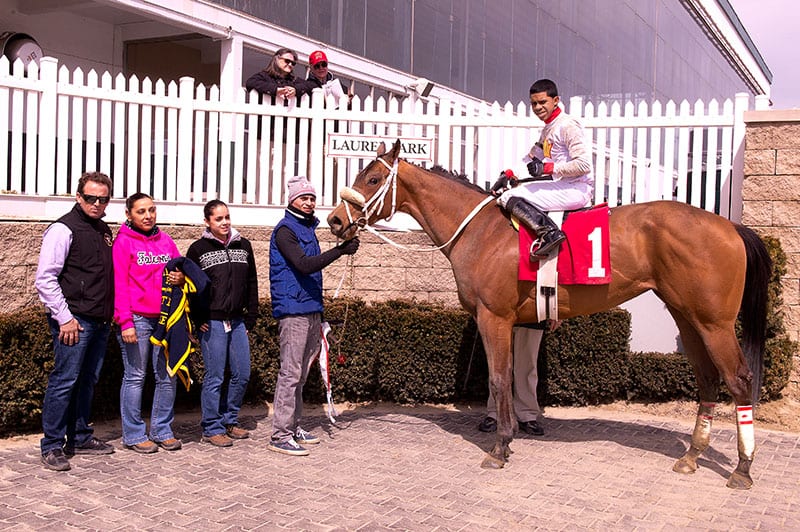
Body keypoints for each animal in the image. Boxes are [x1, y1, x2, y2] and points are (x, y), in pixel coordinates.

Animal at [328, 139, 772, 488]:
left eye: (372, 179)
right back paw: (692, 456)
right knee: (709, 379)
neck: (482, 231)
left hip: (715, 323)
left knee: (739, 379)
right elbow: (505, 378)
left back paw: (743, 469)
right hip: (687, 316)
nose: (334, 220)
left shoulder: (494, 317)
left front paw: (500, 447)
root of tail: (730, 227)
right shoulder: (504, 321)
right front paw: (506, 439)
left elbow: (499, 379)